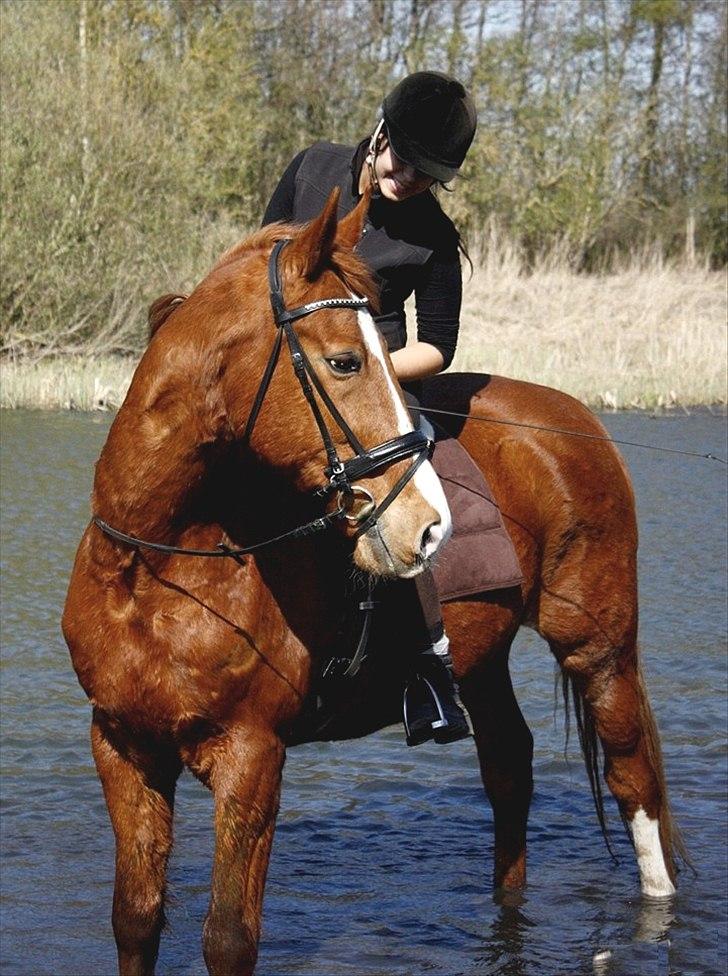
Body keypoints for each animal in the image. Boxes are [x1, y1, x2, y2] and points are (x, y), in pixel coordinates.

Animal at [62, 191, 684, 976]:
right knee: (510, 769)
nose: (429, 526)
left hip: (599, 646)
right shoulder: (122, 747)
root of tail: (576, 421)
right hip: (484, 660)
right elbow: (136, 919)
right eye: (343, 360)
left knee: (634, 782)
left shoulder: (250, 757)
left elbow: (228, 936)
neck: (156, 569)